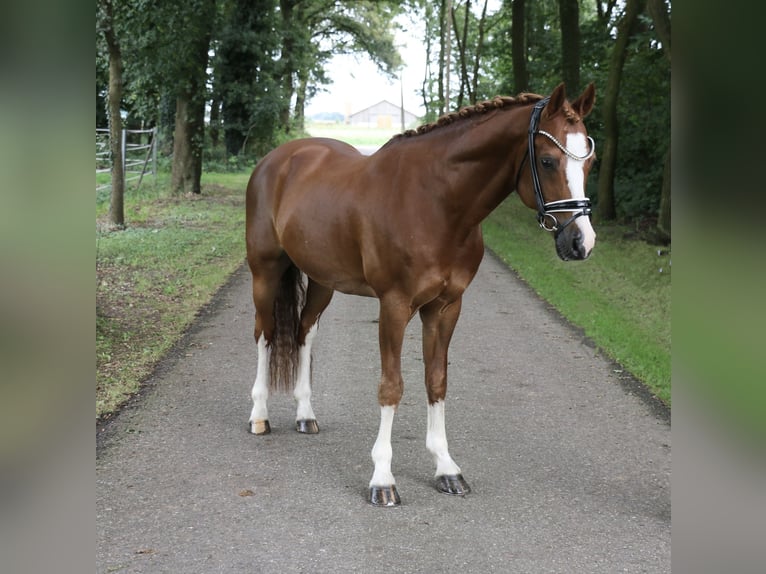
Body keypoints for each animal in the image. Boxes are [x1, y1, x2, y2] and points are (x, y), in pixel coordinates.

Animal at [246, 83, 600, 506]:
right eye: (547, 161)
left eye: (590, 162)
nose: (581, 243)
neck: (436, 203)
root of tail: (278, 159)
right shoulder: (395, 306)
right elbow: (392, 386)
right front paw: (382, 479)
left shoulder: (446, 307)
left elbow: (437, 380)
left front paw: (446, 468)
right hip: (265, 271)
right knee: (265, 334)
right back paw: (259, 416)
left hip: (322, 281)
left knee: (303, 333)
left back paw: (305, 415)